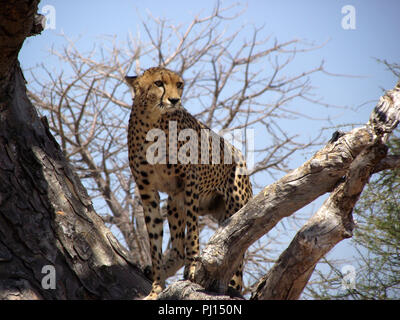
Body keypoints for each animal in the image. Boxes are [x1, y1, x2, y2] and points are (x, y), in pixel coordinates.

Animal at [126, 66, 253, 298]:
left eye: (179, 84)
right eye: (159, 83)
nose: (175, 100)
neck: (152, 120)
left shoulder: (190, 182)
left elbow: (193, 230)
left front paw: (193, 266)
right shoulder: (148, 191)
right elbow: (155, 240)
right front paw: (156, 286)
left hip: (235, 207)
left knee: (239, 255)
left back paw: (232, 287)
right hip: (174, 201)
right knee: (177, 247)